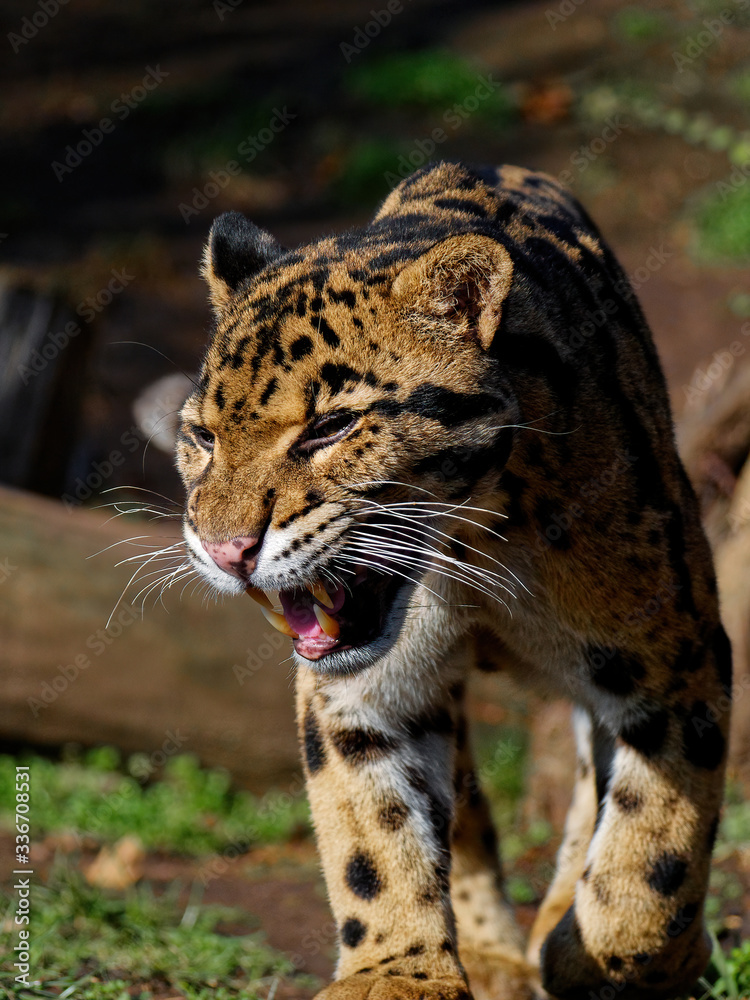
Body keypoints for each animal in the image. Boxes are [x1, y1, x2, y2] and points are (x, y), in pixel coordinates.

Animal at [175, 161, 731, 1000]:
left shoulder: (676, 662)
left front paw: (602, 952)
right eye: (201, 436)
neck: (475, 546)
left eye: (330, 428)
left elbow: (654, 848)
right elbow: (371, 841)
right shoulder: (358, 696)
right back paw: (493, 952)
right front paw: (395, 973)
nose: (224, 549)